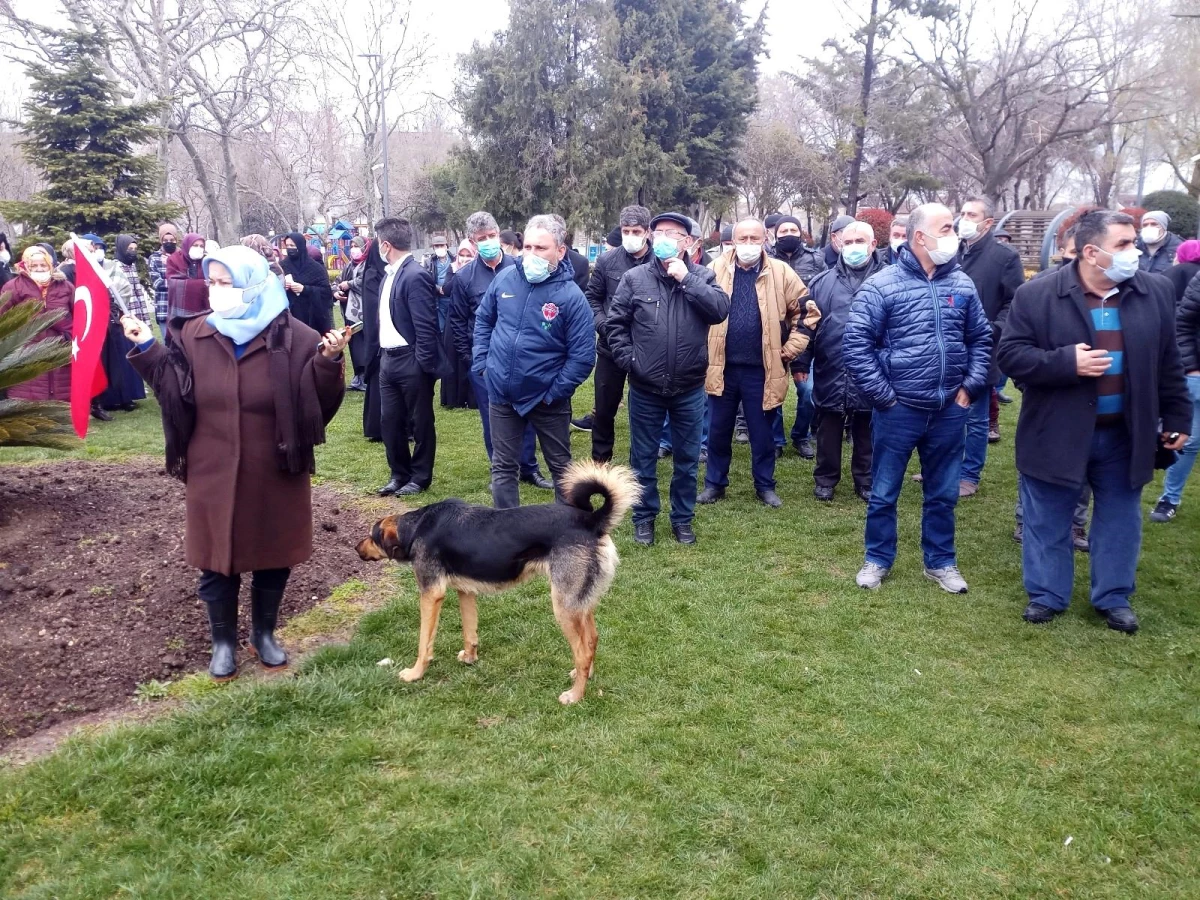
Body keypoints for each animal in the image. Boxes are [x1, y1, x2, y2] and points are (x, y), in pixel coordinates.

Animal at [352, 465, 638, 705]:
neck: (417, 527)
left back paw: (575, 696)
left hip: (563, 606)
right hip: (579, 601)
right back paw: (584, 676)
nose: (355, 548)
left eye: (371, 536)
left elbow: (424, 643)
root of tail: (591, 521)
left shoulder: (431, 594)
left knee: (581, 651)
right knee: (591, 640)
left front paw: (415, 673)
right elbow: (470, 632)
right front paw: (469, 659)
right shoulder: (465, 591)